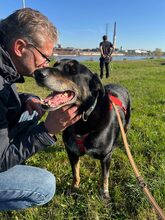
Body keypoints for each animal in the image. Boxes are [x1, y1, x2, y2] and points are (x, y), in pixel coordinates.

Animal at [34, 58, 131, 199]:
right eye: (55, 65)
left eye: (73, 70)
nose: (37, 73)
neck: (83, 118)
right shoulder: (72, 152)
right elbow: (75, 173)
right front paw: (74, 189)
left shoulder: (106, 156)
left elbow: (105, 177)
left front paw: (105, 195)